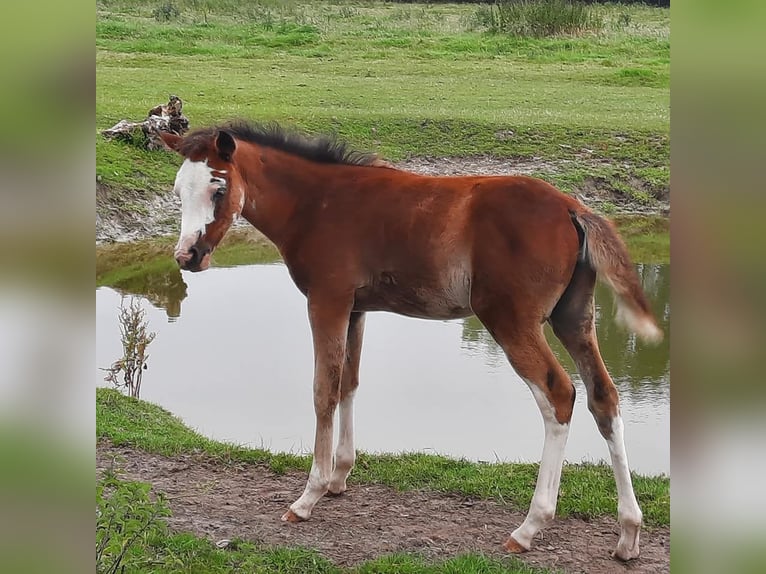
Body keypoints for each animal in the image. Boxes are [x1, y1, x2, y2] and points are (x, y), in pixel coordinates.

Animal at [164, 122, 664, 564]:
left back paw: (529, 527)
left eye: (219, 189)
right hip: (574, 319)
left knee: (559, 396)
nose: (187, 256)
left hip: (512, 321)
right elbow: (349, 383)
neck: (317, 204)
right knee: (604, 398)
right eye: (179, 190)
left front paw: (308, 496)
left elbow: (324, 390)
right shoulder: (356, 309)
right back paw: (628, 534)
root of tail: (572, 207)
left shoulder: (326, 301)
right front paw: (340, 477)